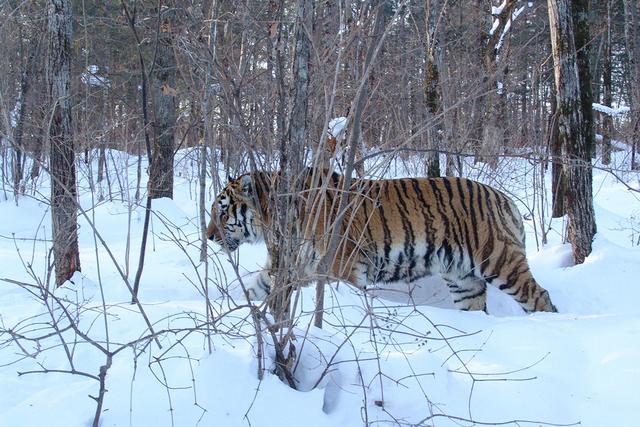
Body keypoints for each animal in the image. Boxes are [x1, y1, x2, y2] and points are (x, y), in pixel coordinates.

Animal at [208, 168, 556, 314]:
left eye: (222, 211)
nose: (210, 236)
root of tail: (506, 200)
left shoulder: (343, 267)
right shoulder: (289, 265)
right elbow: (255, 288)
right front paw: (227, 305)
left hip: (499, 260)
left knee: (540, 297)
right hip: (463, 279)